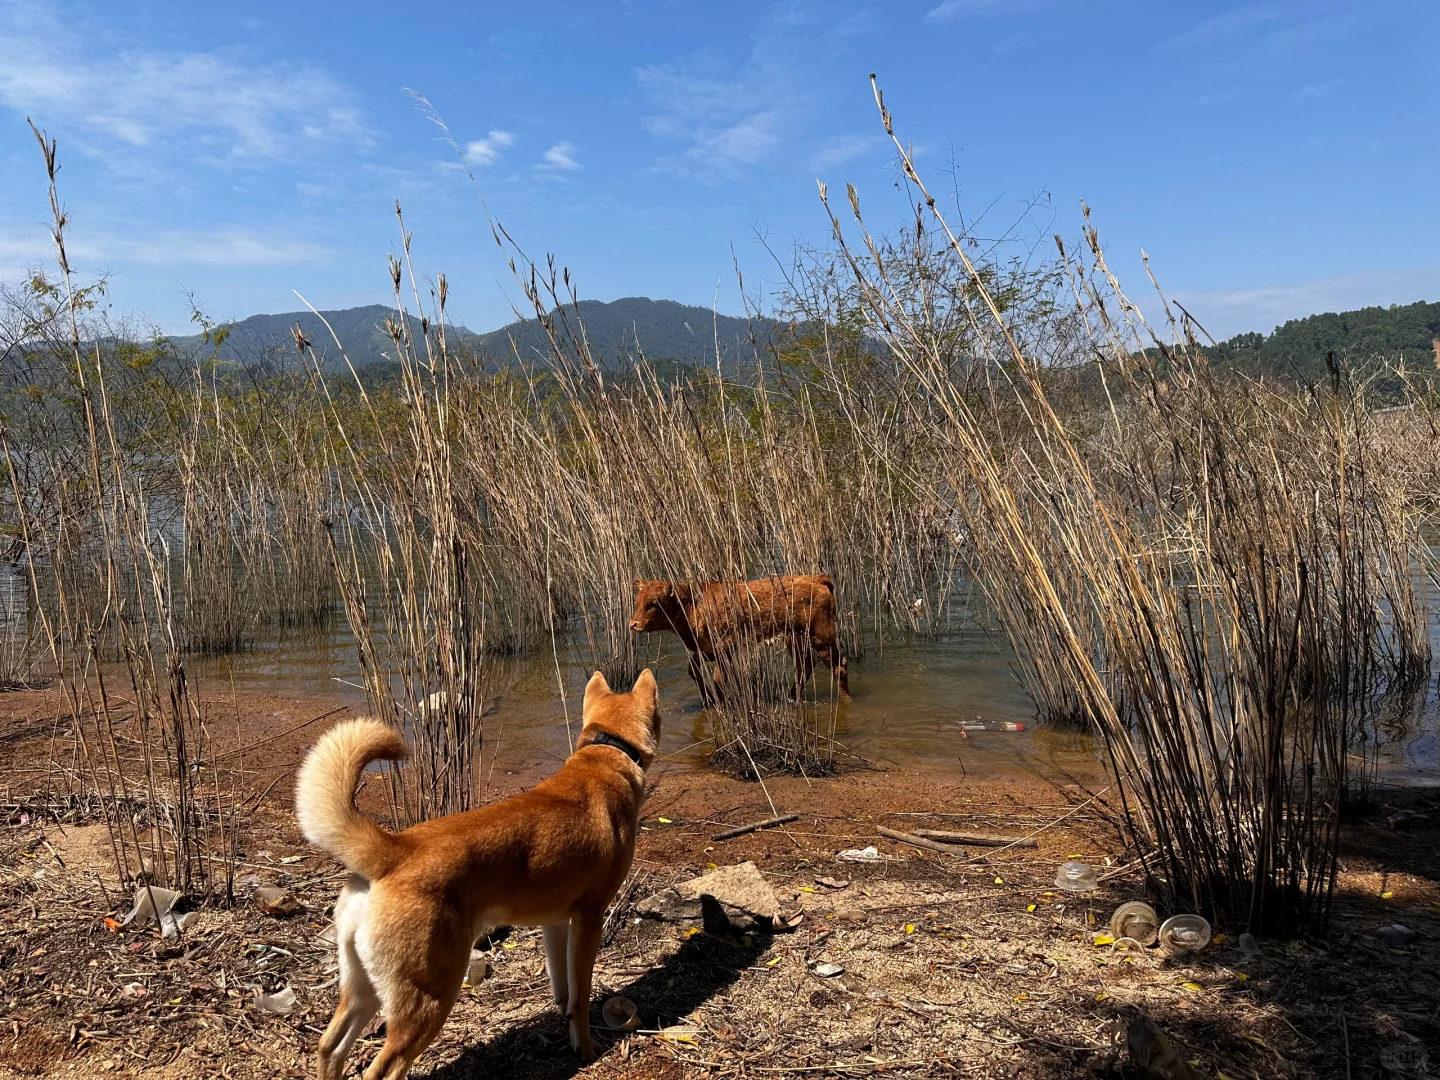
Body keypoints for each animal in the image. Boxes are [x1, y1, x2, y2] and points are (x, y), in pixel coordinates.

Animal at [627, 576, 846, 702]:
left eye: (653, 603)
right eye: (637, 601)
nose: (633, 624)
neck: (693, 605)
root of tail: (816, 578)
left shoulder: (724, 647)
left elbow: (718, 678)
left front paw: (722, 702)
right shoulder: (702, 649)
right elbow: (693, 672)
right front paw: (708, 700)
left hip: (821, 636)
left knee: (838, 665)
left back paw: (845, 700)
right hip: (794, 637)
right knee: (805, 665)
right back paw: (793, 696)